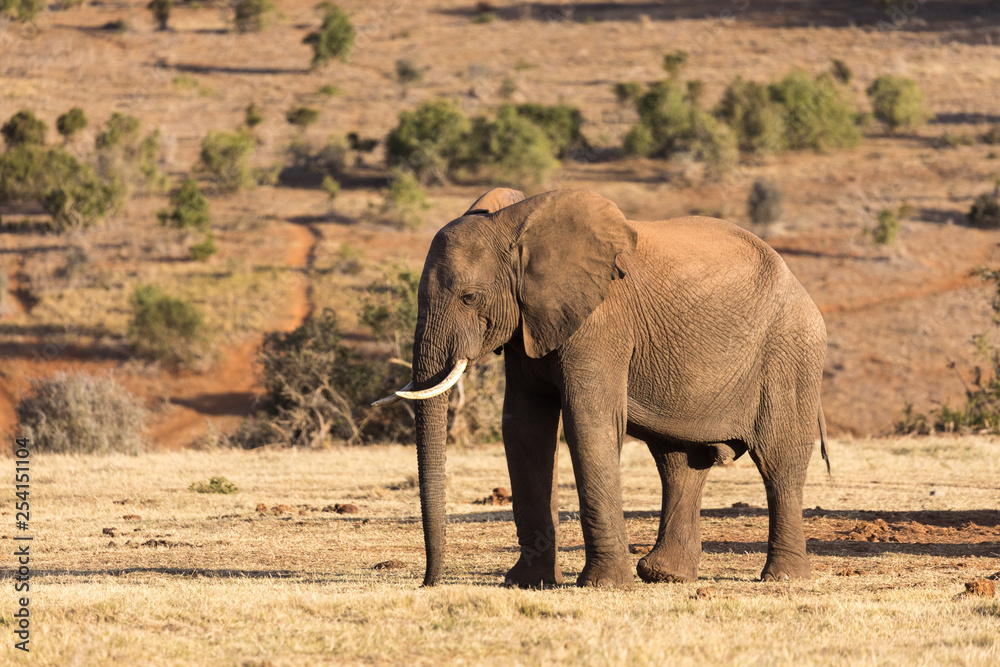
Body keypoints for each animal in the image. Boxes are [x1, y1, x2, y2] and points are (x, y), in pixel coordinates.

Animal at [376, 188, 828, 588]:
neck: (516, 225)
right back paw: (665, 575)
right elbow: (524, 430)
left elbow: (587, 424)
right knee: (680, 463)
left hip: (790, 352)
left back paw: (784, 577)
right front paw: (527, 583)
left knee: (778, 461)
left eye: (469, 297)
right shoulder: (529, 324)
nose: (429, 582)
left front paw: (603, 585)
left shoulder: (599, 323)